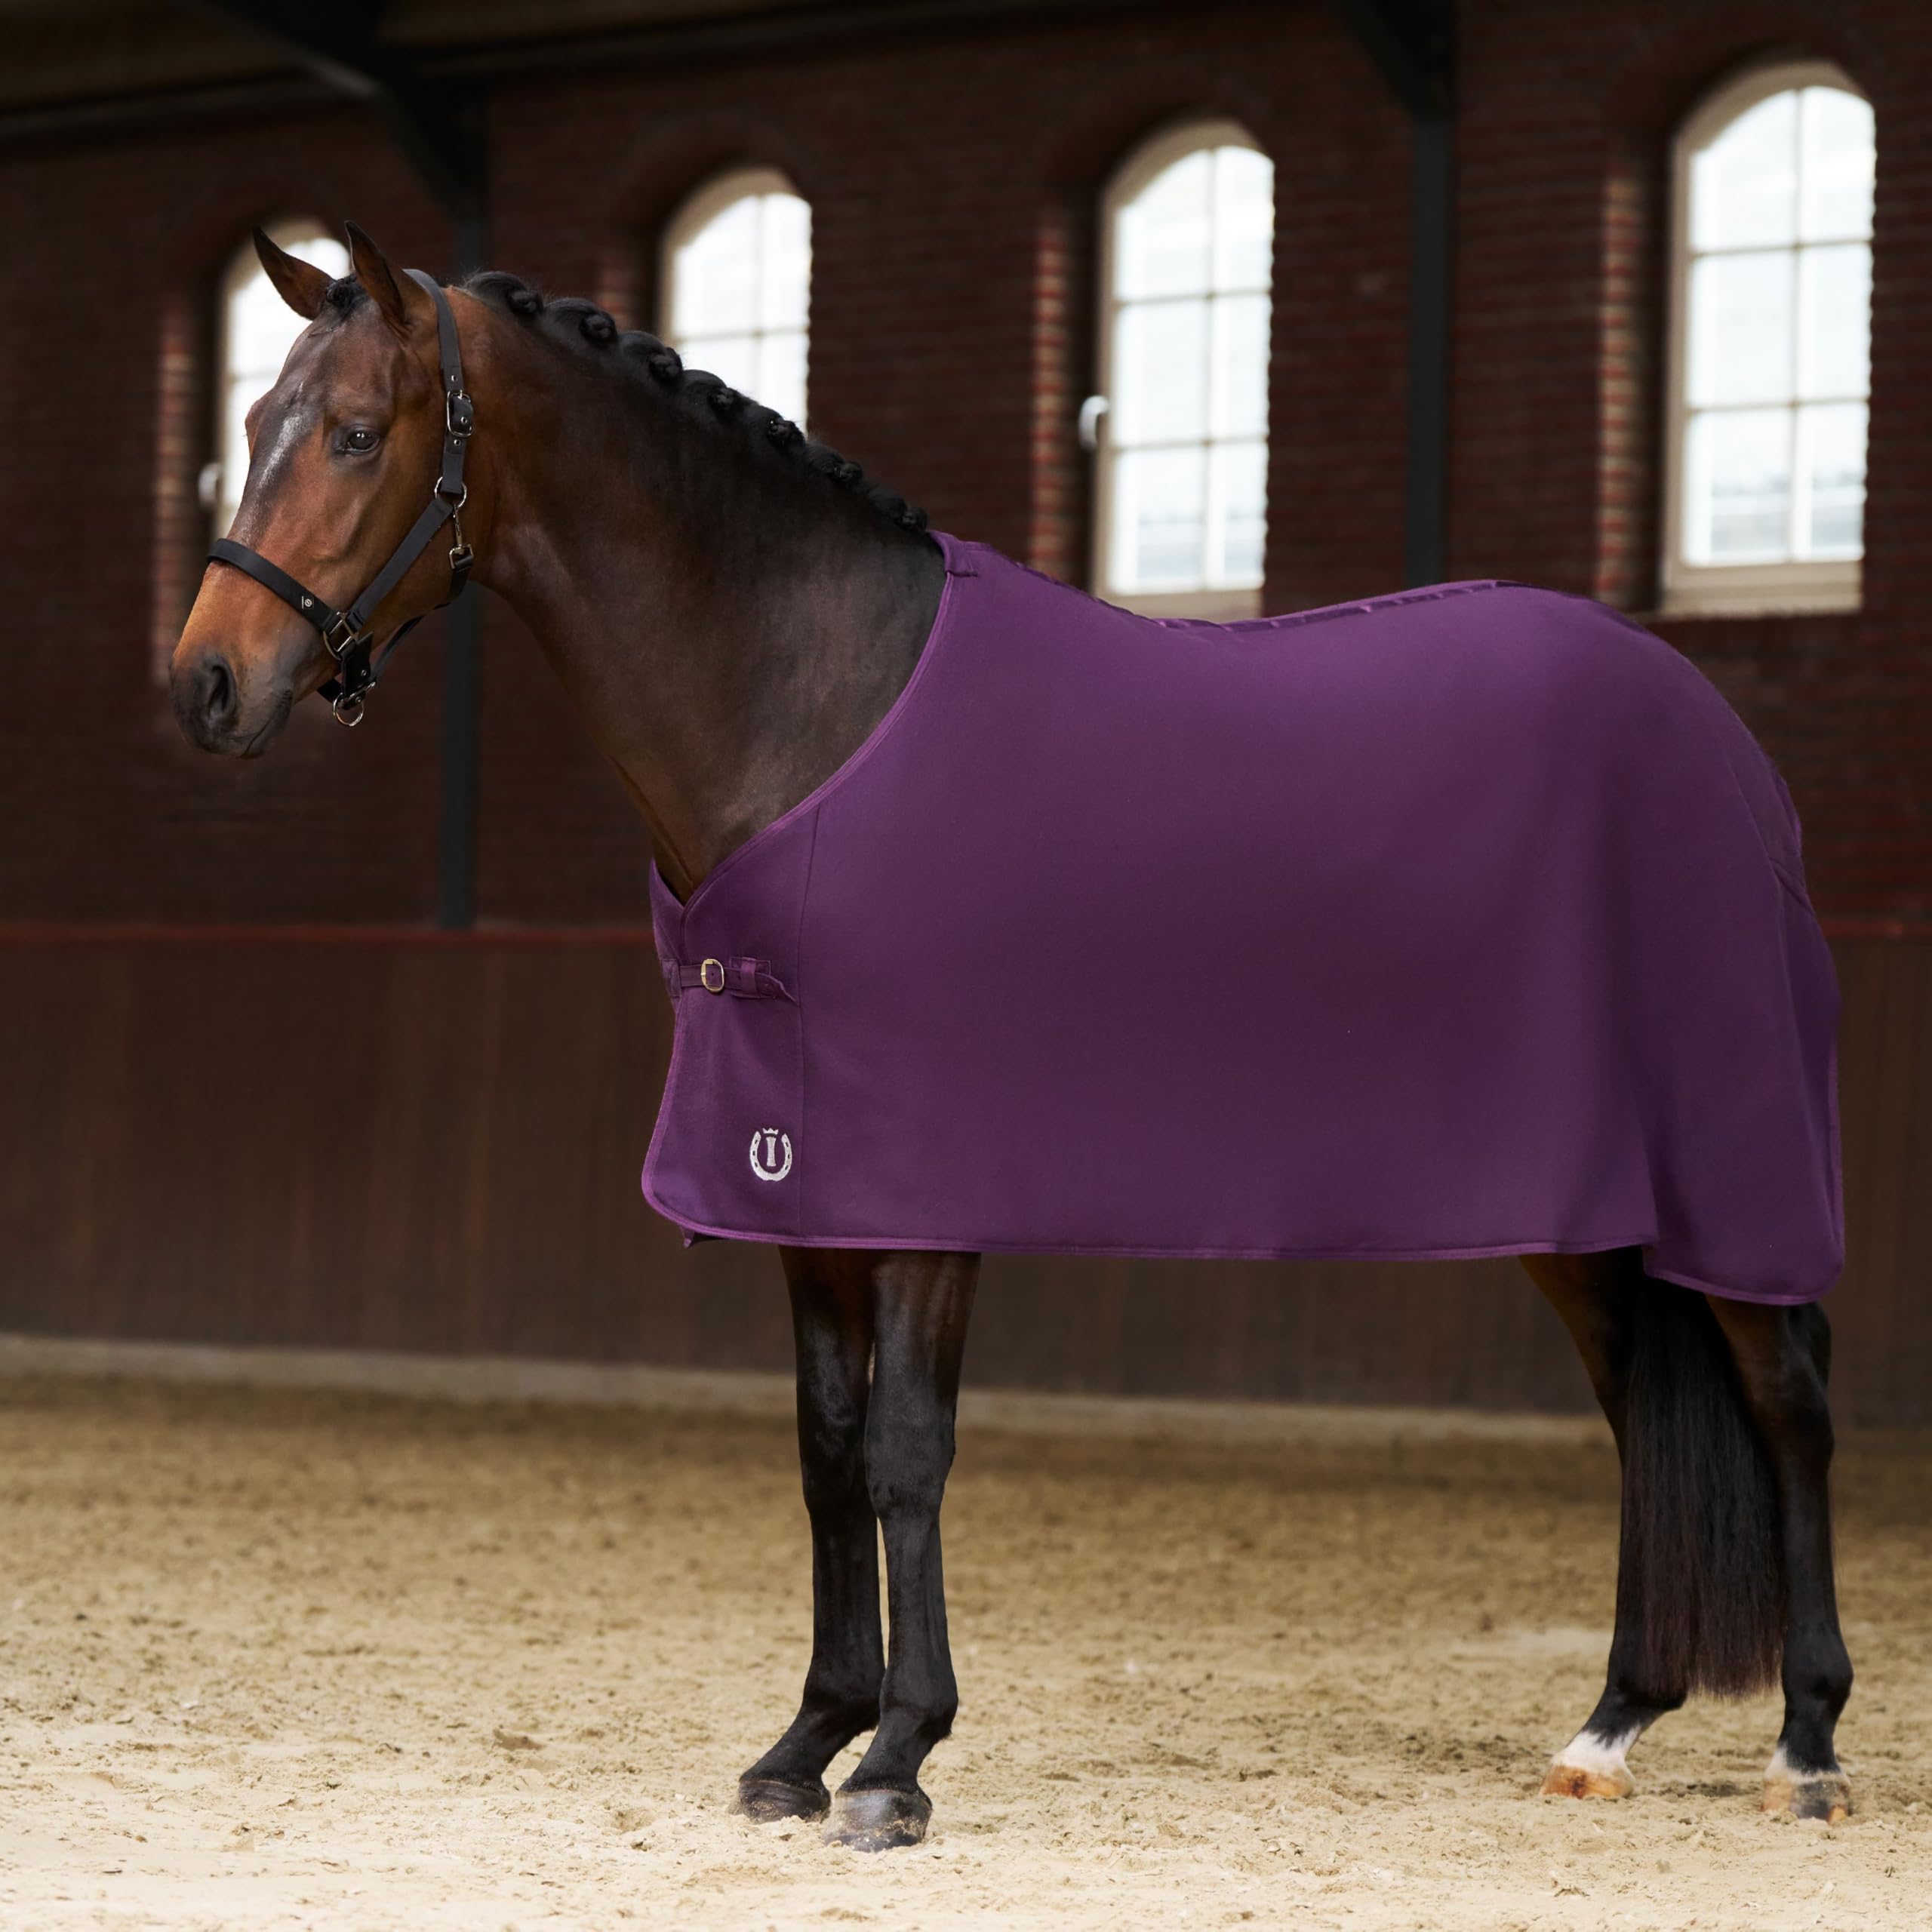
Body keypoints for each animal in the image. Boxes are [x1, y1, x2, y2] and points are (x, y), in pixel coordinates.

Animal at [169, 225, 1853, 1851]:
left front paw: (897, 1759)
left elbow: (907, 1450)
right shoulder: (804, 1192)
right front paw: (803, 1743)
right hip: (1580, 1209)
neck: (815, 711)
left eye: (354, 431)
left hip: (1728, 1172)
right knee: (1639, 1408)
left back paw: (1807, 1745)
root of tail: (1717, 736)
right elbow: (825, 1449)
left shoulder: (925, 1195)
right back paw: (1610, 1726)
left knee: (1784, 1397)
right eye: (246, 427)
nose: (205, 684)